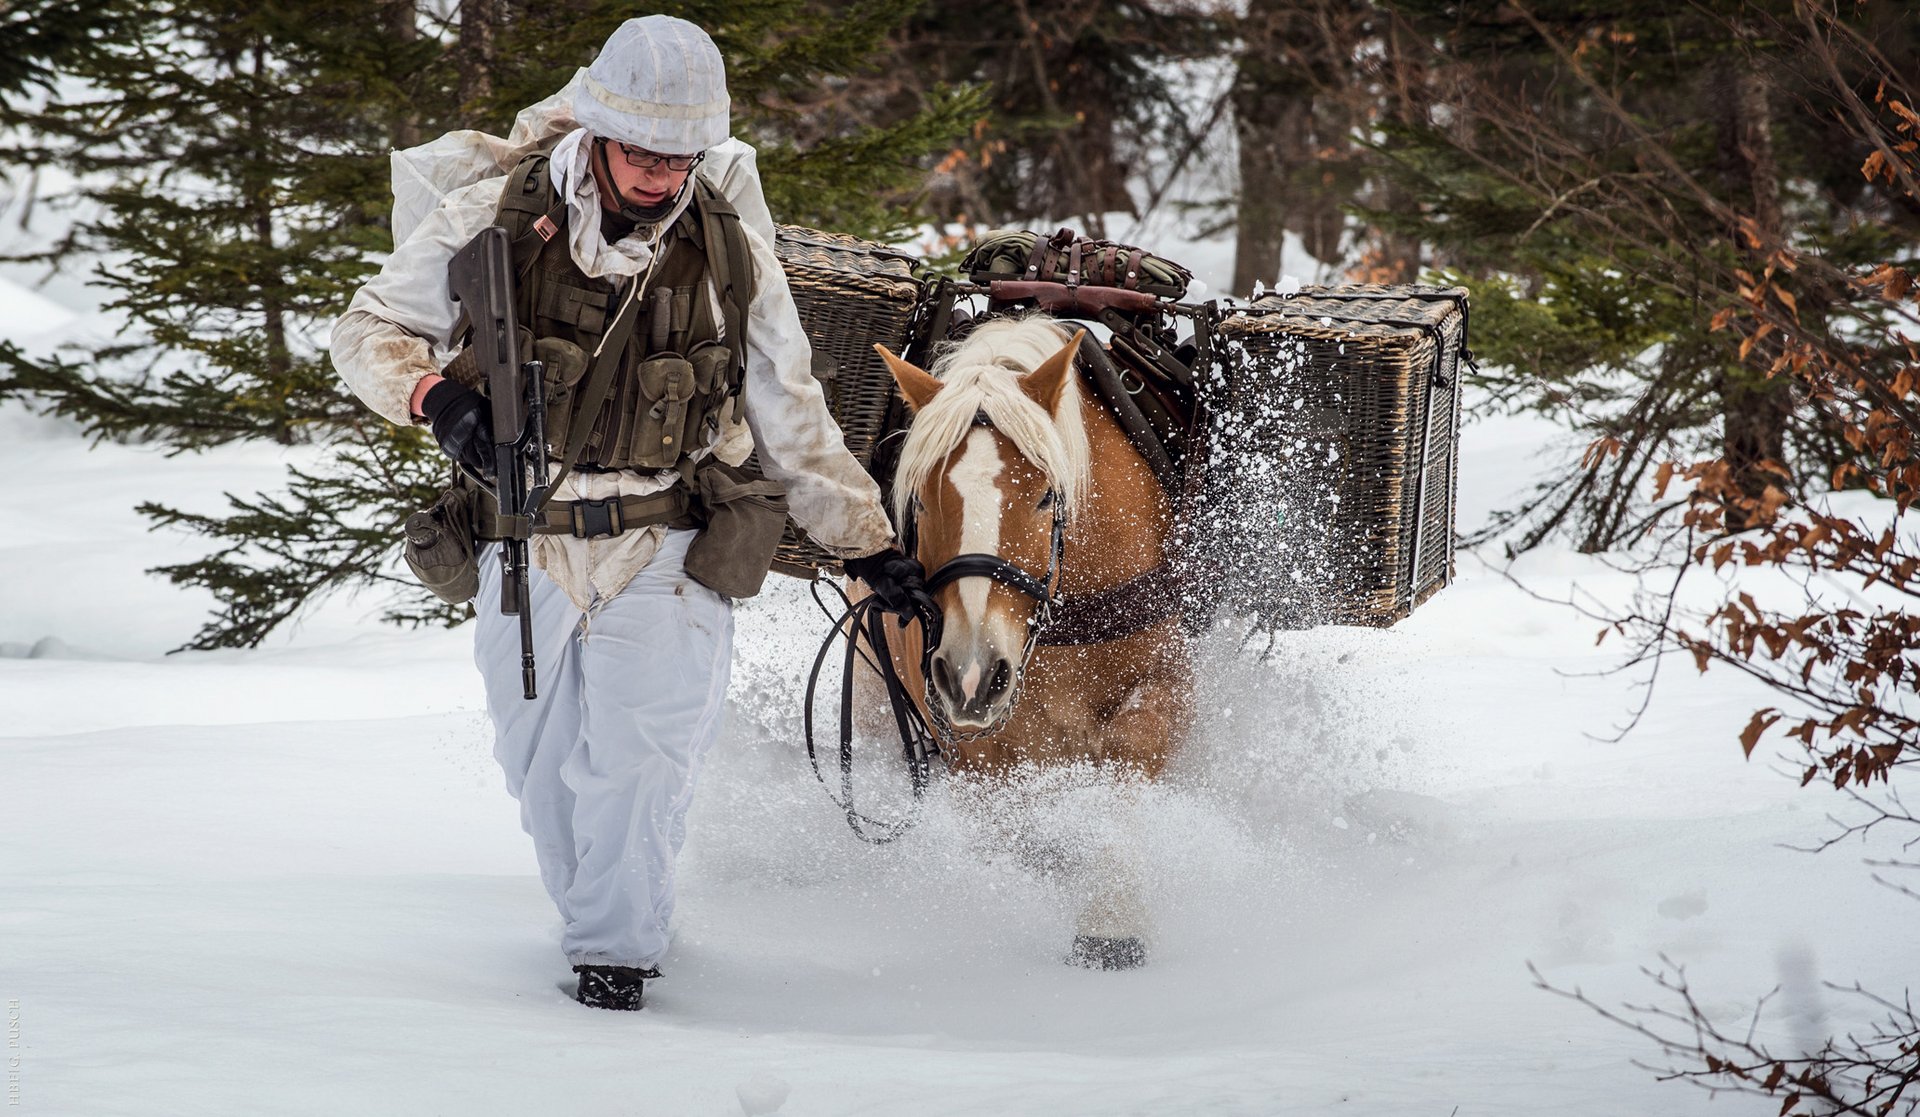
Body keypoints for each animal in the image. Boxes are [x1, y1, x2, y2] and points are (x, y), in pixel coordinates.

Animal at [867, 316, 1190, 971]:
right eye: (920, 498)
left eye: (1045, 494)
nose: (972, 674)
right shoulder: (969, 744)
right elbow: (1017, 824)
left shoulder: (1171, 686)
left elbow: (1132, 749)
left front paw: (1110, 917)